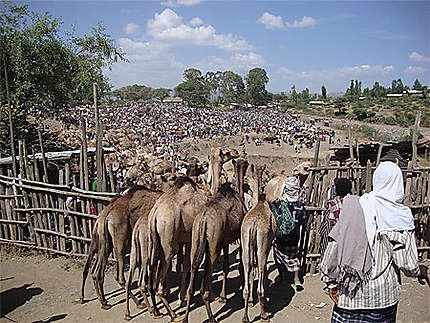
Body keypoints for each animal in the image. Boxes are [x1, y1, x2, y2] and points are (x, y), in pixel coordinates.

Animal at [146, 147, 237, 322]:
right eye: (225, 153)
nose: (236, 151)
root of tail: (155, 214)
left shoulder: (187, 239)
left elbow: (186, 264)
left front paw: (183, 297)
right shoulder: (192, 239)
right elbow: (191, 264)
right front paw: (206, 295)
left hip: (155, 240)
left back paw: (156, 310)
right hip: (169, 238)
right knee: (164, 268)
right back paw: (173, 314)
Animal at [181, 159, 249, 323]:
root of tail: (204, 219)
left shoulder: (224, 241)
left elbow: (225, 267)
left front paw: (222, 296)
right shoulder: (237, 236)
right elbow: (236, 265)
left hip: (197, 239)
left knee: (193, 268)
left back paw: (185, 317)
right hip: (213, 245)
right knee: (204, 282)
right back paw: (212, 316)